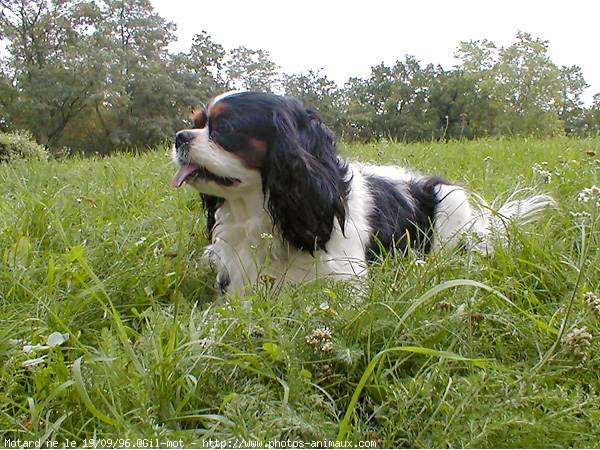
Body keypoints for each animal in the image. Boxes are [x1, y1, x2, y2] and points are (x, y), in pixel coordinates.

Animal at [170, 91, 552, 296]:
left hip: (451, 201)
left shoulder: (347, 286)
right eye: (196, 122)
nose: (179, 136)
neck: (262, 213)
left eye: (224, 127)